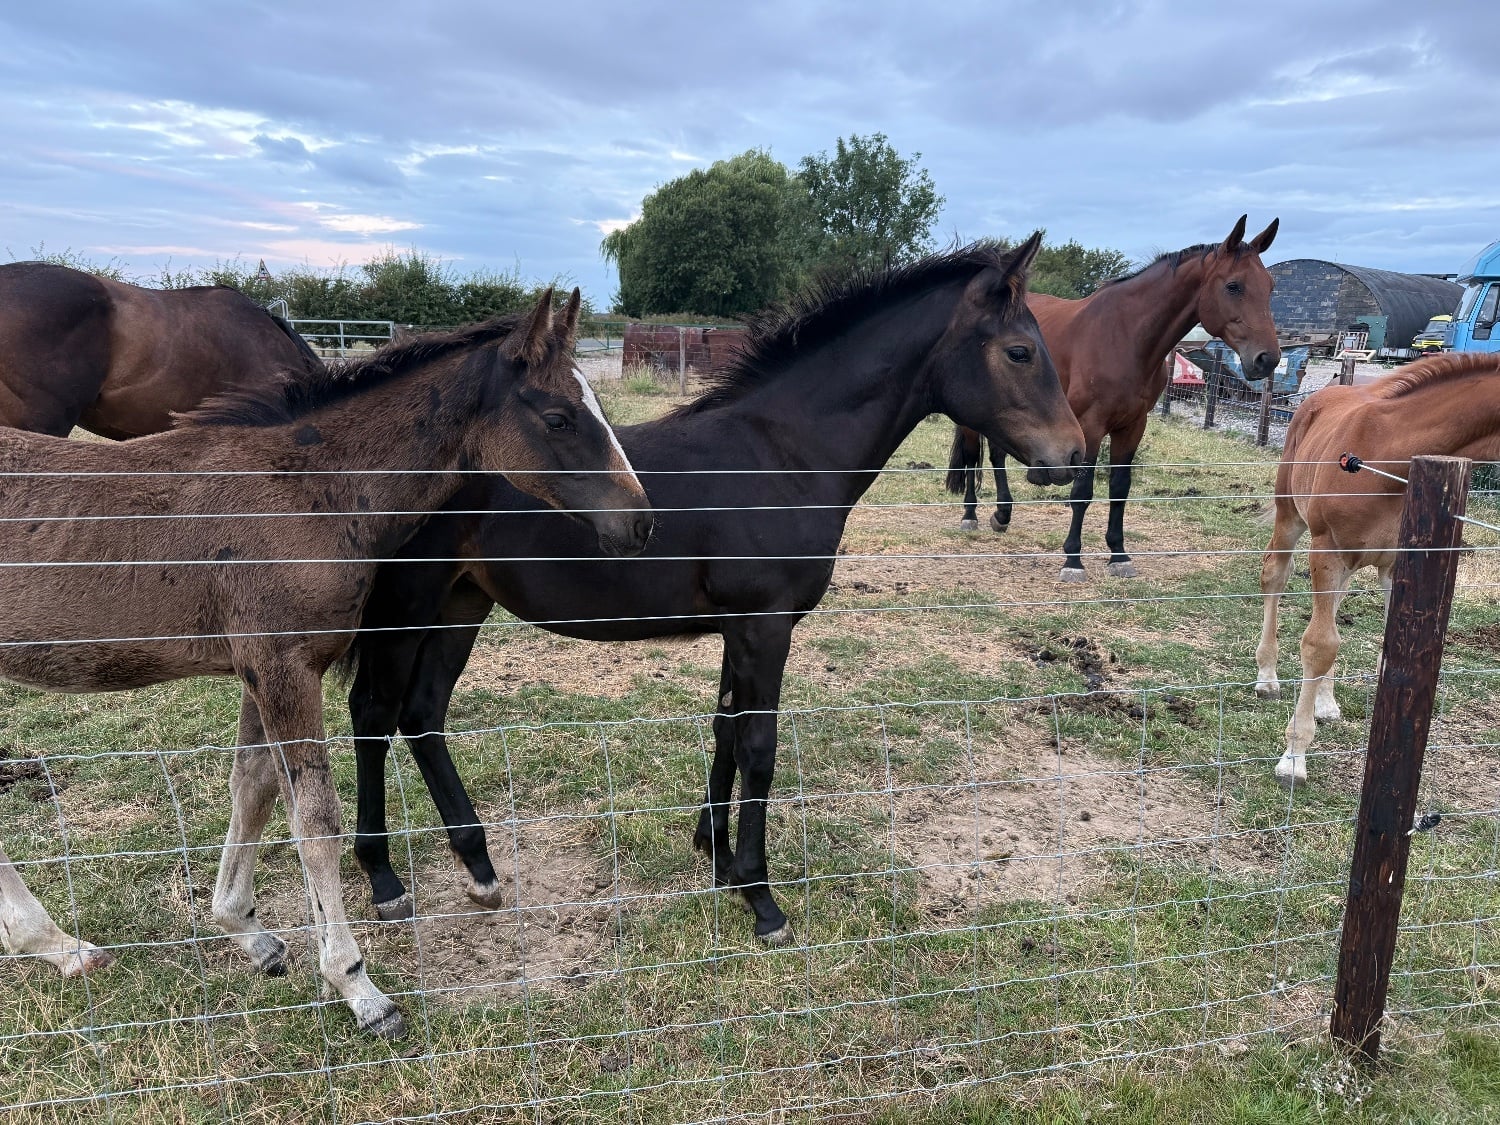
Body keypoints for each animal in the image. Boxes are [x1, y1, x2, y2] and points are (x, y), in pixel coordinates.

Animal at [0, 290, 653, 1038]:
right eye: (558, 418)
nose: (641, 522)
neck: (306, 485)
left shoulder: (261, 669)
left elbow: (251, 789)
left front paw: (244, 928)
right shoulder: (284, 666)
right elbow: (314, 823)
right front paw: (358, 986)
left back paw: (59, 945)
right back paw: (53, 942)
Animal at [341, 235, 1086, 946]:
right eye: (1020, 351)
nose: (1073, 456)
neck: (782, 457)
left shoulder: (741, 625)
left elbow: (726, 727)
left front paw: (719, 857)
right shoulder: (764, 623)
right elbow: (759, 746)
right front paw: (762, 898)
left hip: (461, 602)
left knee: (423, 713)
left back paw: (479, 867)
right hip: (406, 606)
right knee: (374, 713)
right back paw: (383, 879)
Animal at [944, 216, 1282, 580]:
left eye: (1270, 286)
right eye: (1234, 286)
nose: (1268, 359)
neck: (1126, 337)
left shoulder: (1132, 426)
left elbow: (1120, 488)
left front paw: (1119, 555)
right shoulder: (1090, 426)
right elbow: (1082, 492)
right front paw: (1073, 560)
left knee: (997, 455)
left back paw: (1003, 514)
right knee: (972, 455)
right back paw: (970, 514)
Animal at [1254, 351, 1500, 786]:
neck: (1392, 460)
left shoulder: (1398, 563)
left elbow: (1392, 646)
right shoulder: (1328, 547)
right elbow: (1319, 644)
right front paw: (1294, 758)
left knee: (1334, 605)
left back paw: (1325, 702)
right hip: (1291, 516)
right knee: (1275, 576)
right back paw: (1267, 677)